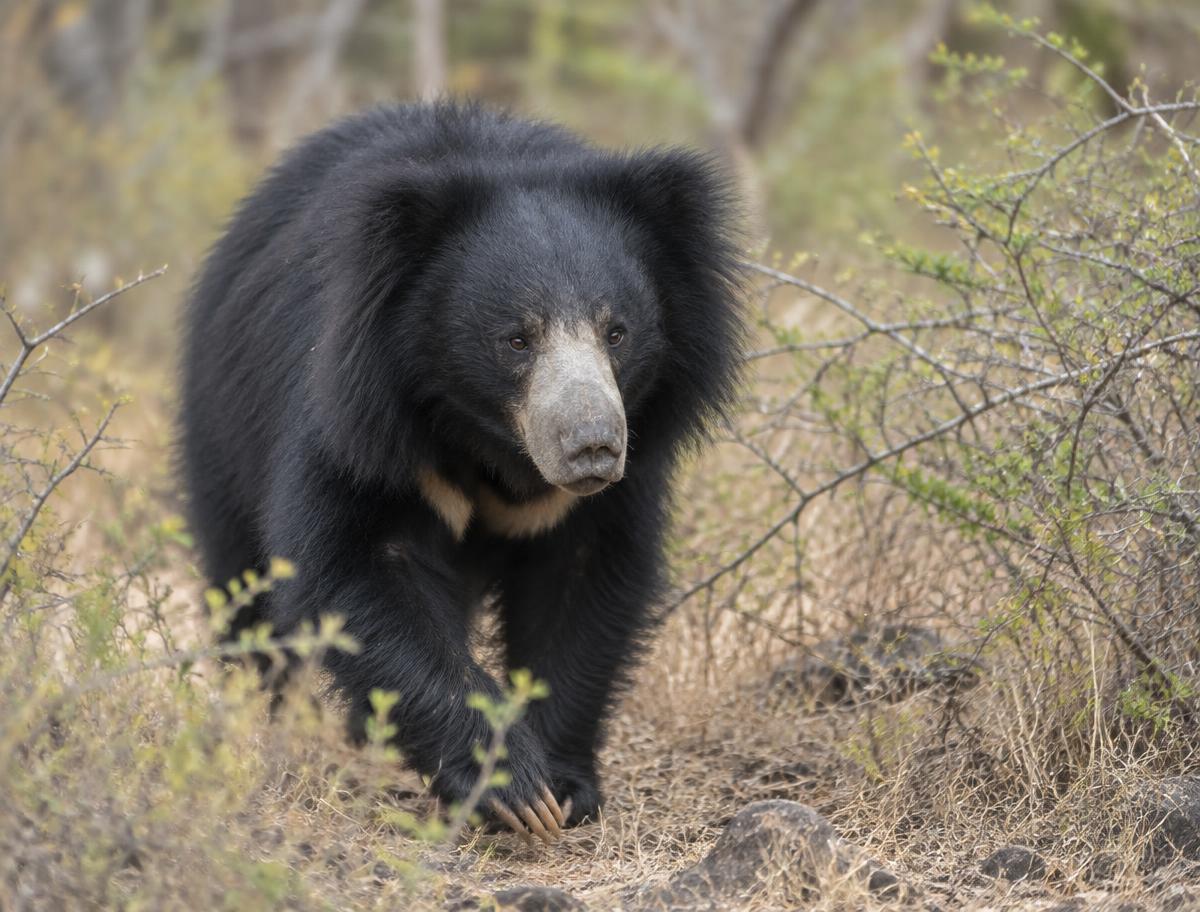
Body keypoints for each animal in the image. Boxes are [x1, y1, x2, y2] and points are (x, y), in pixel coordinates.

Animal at [179, 103, 743, 843]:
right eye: (516, 340)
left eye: (617, 332)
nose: (592, 447)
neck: (491, 441)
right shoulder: (360, 421)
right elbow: (362, 573)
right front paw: (509, 788)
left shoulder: (614, 480)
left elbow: (585, 585)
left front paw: (562, 787)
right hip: (221, 430)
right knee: (245, 589)